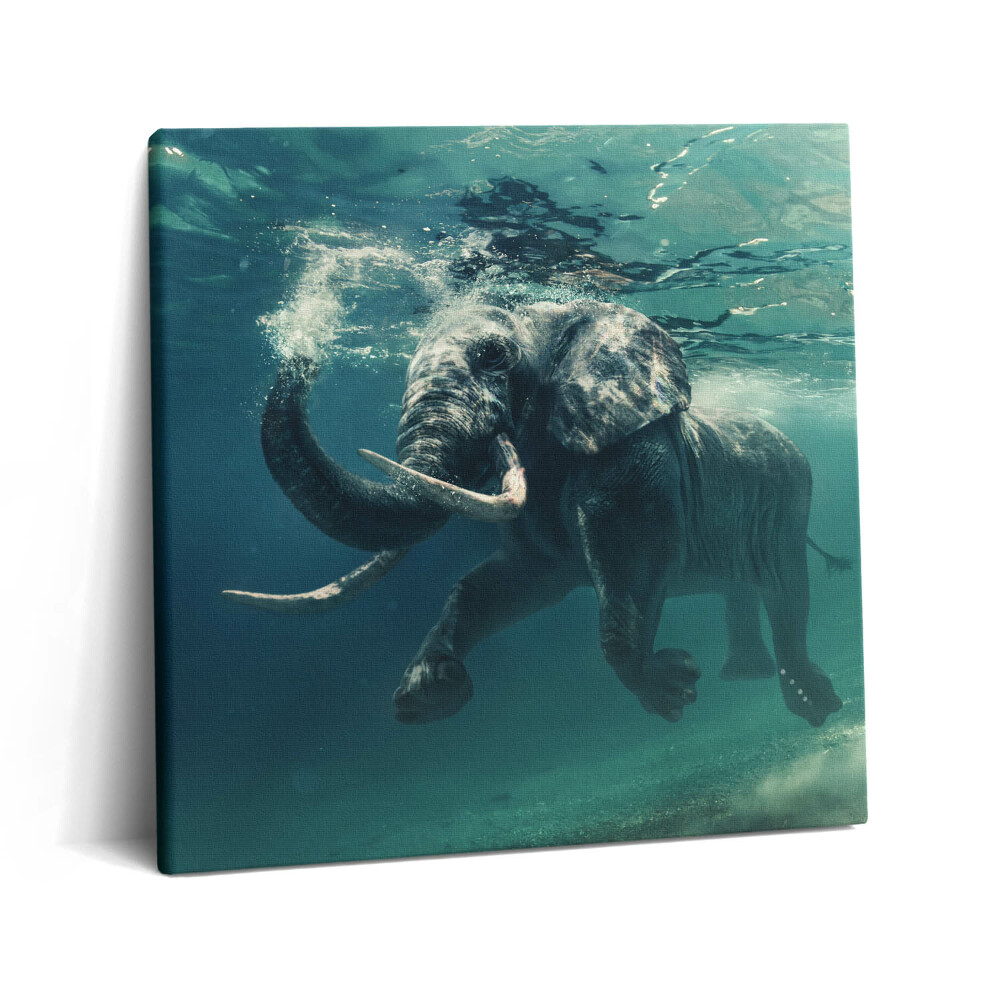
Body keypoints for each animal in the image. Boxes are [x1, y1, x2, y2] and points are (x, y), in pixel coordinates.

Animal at [224, 300, 846, 728]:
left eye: (493, 356)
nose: (302, 351)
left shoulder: (632, 451)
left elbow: (633, 561)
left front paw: (672, 691)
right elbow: (509, 583)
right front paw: (427, 695)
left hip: (792, 496)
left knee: (787, 590)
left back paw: (814, 707)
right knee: (744, 587)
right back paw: (746, 677)